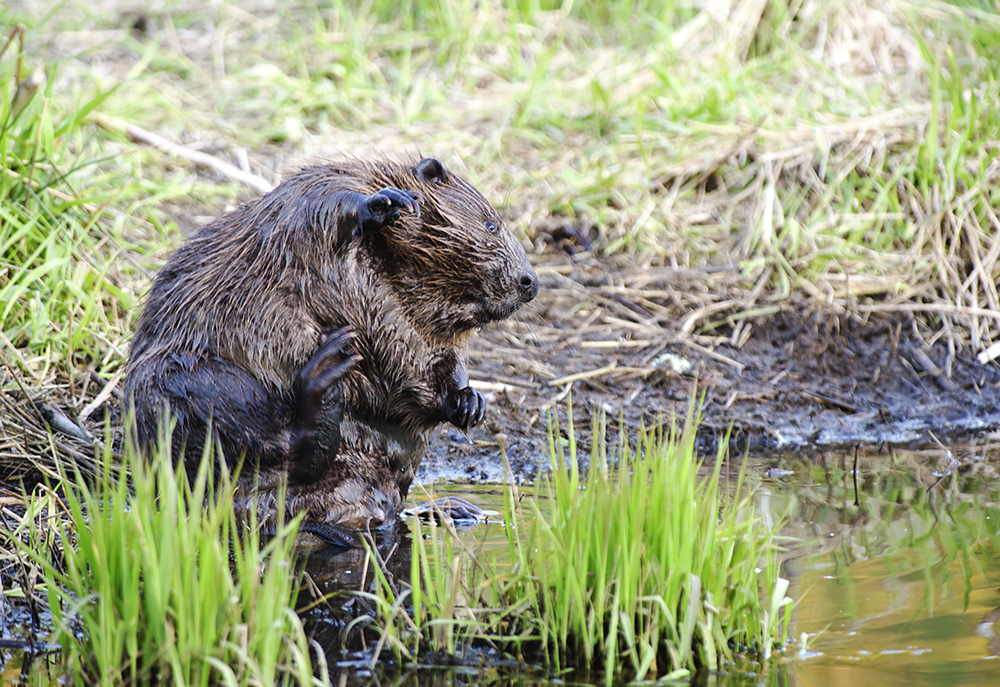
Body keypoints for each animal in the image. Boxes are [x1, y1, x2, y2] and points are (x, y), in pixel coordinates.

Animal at [123, 159, 540, 544]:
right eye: (490, 224)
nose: (530, 282)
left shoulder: (427, 337)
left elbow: (431, 372)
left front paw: (470, 402)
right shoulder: (311, 195)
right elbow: (324, 206)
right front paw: (388, 203)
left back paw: (454, 509)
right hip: (183, 380)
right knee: (247, 450)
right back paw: (325, 375)